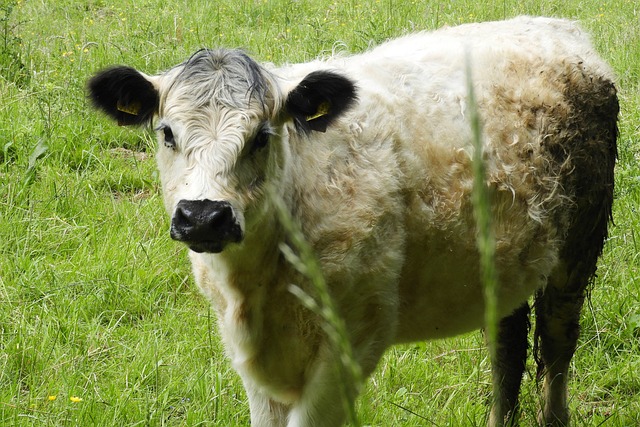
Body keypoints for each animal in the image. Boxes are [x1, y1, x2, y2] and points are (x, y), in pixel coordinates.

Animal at [87, 15, 616, 426]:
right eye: (167, 133)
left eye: (261, 136)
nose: (202, 217)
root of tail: (553, 27)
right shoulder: (248, 355)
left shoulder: (353, 341)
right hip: (507, 262)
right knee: (507, 348)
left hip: (577, 251)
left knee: (557, 345)